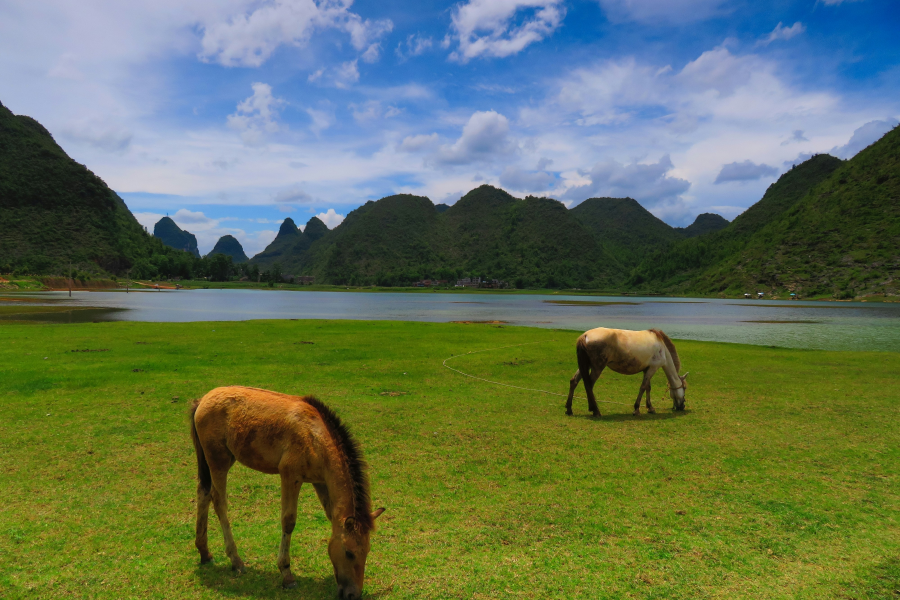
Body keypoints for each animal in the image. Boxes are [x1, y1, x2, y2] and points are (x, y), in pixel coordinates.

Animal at [188, 386, 384, 596]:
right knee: (218, 501)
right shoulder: (290, 476)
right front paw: (287, 574)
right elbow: (288, 521)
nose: (353, 594)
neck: (315, 438)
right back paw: (236, 560)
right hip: (219, 460)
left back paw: (204, 552)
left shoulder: (320, 482)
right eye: (349, 553)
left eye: (367, 550)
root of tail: (202, 400)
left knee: (203, 493)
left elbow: (330, 515)